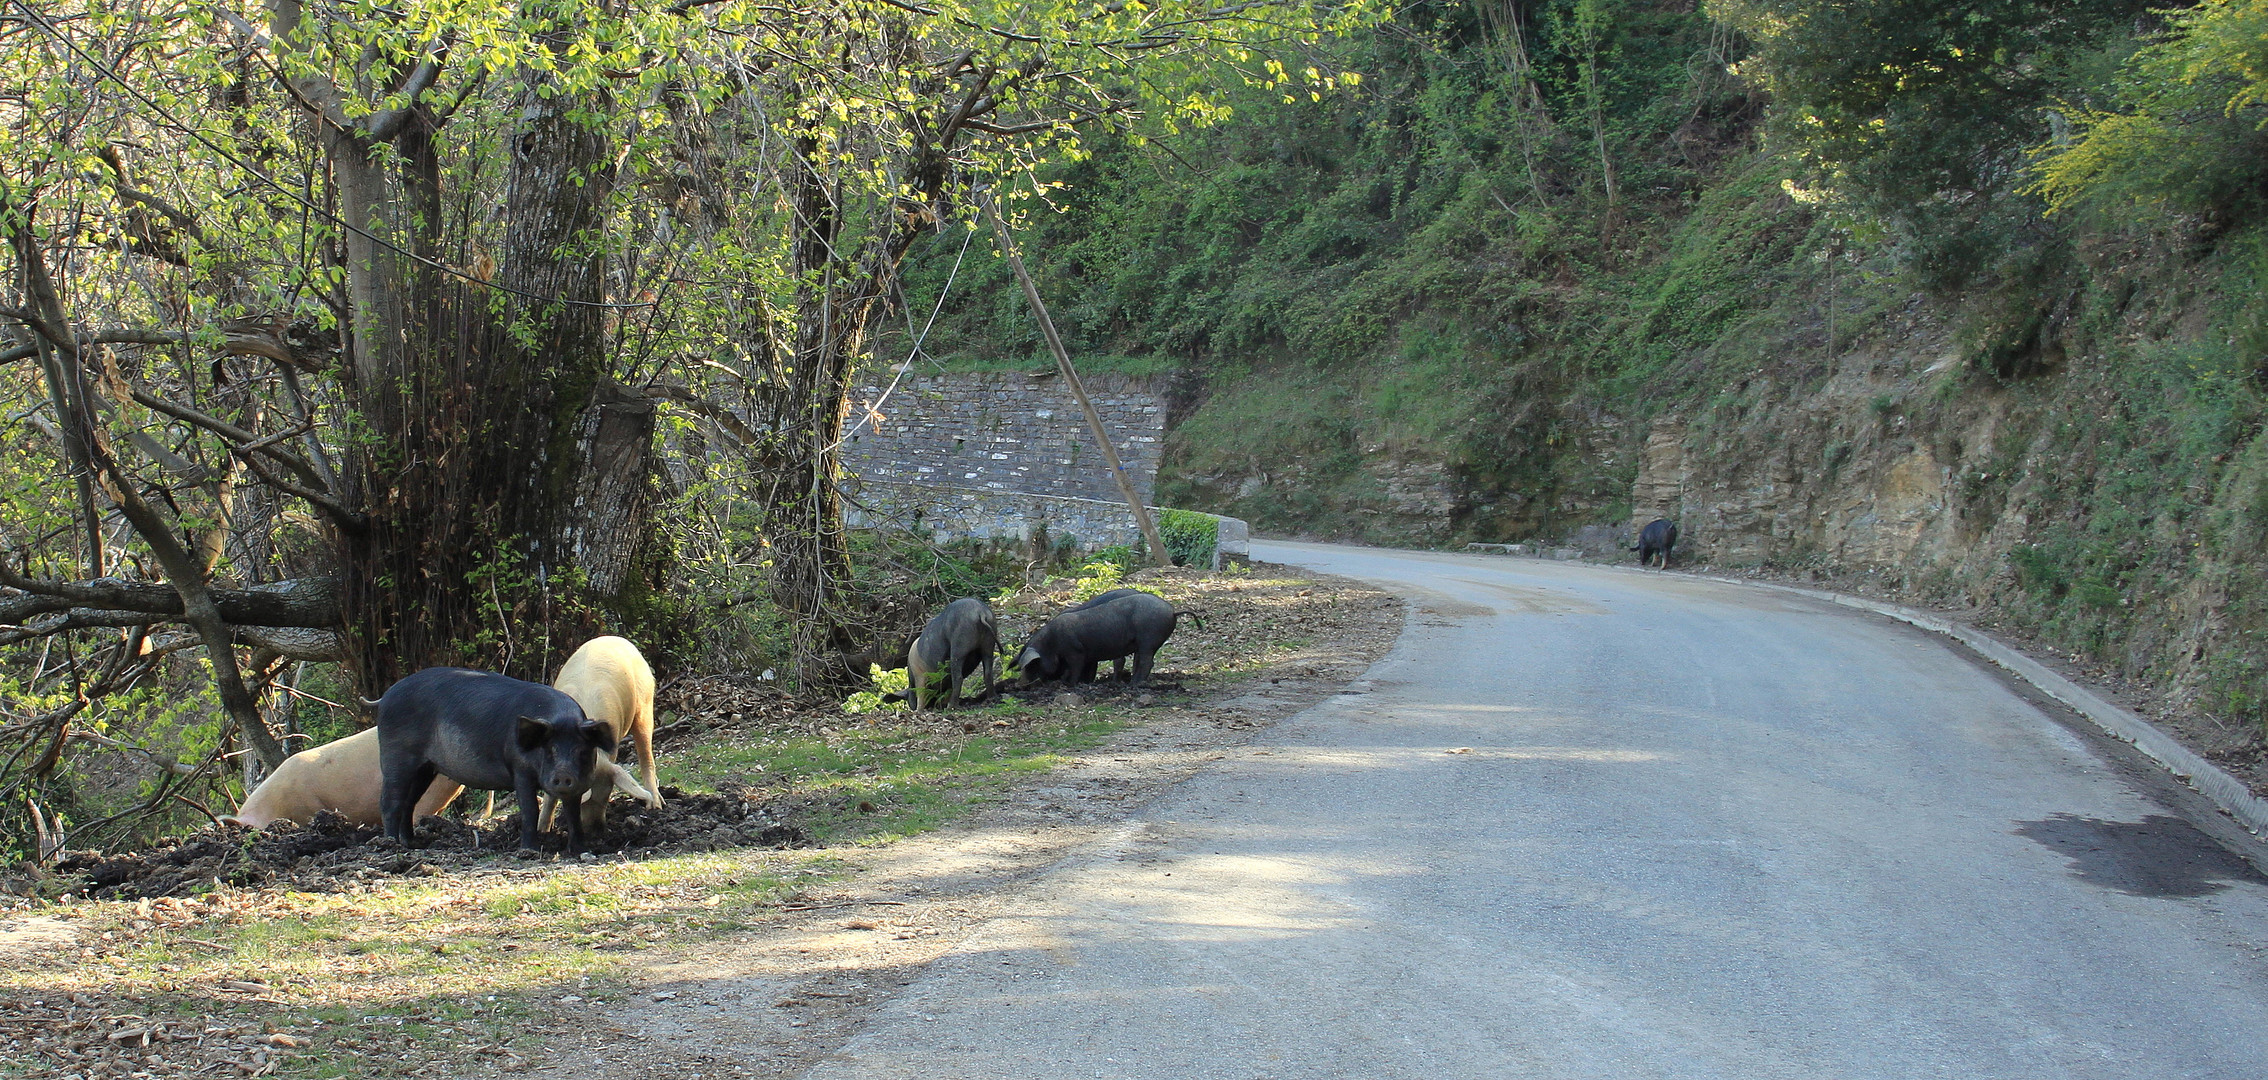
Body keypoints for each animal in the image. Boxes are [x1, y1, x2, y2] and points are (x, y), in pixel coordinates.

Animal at [376, 667, 616, 853]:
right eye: (549, 750)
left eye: (581, 751)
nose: (564, 775)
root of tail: (386, 695)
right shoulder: (520, 769)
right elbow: (530, 809)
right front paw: (529, 851)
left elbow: (573, 814)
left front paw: (581, 851)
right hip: (396, 756)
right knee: (390, 801)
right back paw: (391, 845)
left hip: (426, 768)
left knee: (409, 802)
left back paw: (412, 844)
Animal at [1016, 585, 1206, 689]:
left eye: (1033, 665)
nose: (1021, 684)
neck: (1051, 644)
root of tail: (1172, 611)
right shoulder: (1088, 656)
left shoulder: (1076, 652)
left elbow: (1075, 669)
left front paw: (1070, 684)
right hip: (1146, 643)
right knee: (1138, 661)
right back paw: (1128, 682)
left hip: (1148, 639)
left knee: (1146, 662)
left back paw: (1134, 684)